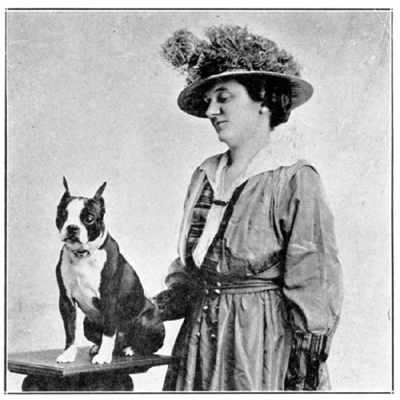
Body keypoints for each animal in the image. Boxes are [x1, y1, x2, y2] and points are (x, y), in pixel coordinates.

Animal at [54, 180, 164, 364]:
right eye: (63, 215)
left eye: (89, 219)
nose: (72, 227)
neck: (83, 255)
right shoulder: (66, 300)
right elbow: (70, 330)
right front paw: (68, 354)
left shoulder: (109, 300)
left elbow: (108, 331)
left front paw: (104, 356)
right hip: (88, 323)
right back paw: (98, 347)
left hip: (146, 322)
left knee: (145, 345)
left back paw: (130, 349)